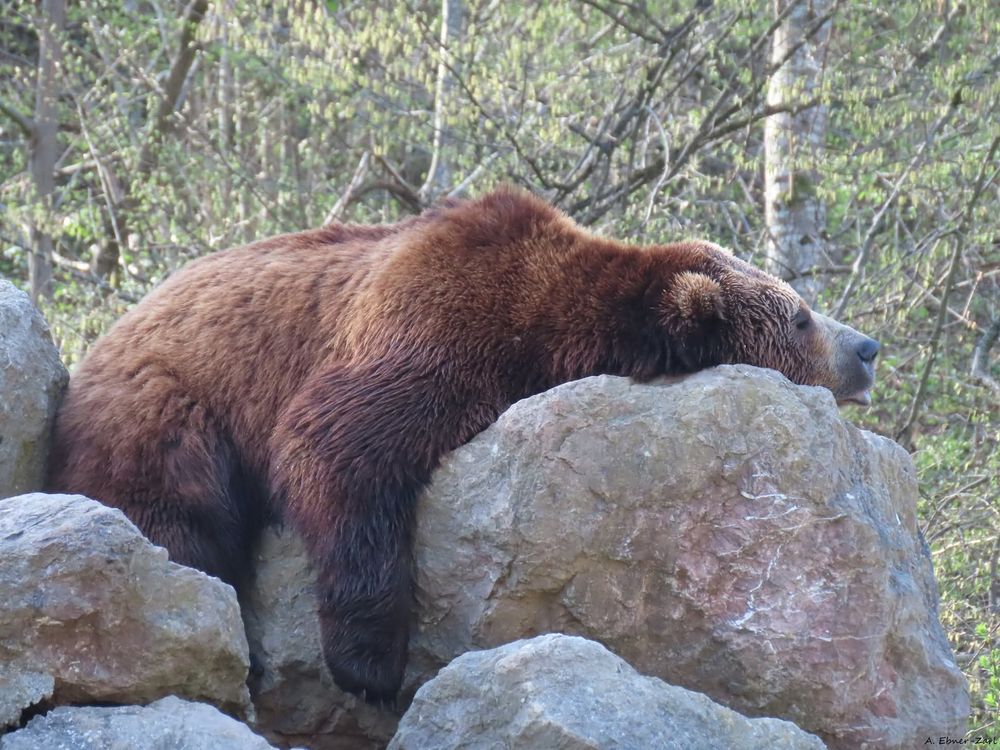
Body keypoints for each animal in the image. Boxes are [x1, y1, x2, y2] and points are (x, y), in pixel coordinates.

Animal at [46, 187, 879, 702]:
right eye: (800, 315)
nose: (867, 347)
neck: (551, 331)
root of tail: (101, 340)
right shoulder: (436, 321)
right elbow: (336, 446)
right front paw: (372, 665)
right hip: (167, 406)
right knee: (172, 521)